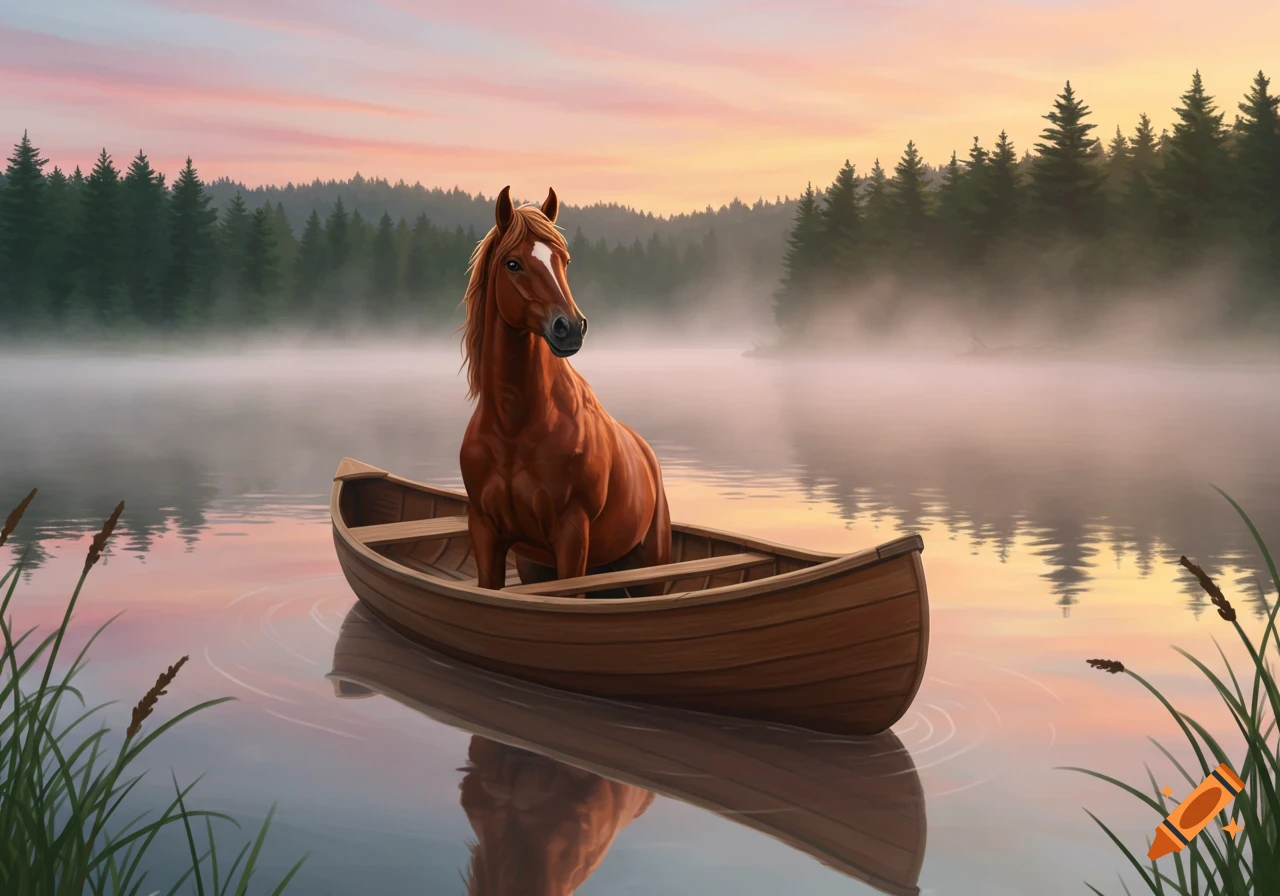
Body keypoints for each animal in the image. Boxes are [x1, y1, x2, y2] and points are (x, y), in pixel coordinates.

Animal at [457, 185, 671, 595]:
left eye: (564, 260)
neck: (514, 426)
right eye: (513, 264)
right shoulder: (485, 532)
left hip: (648, 569)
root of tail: (646, 452)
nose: (570, 328)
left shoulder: (572, 534)